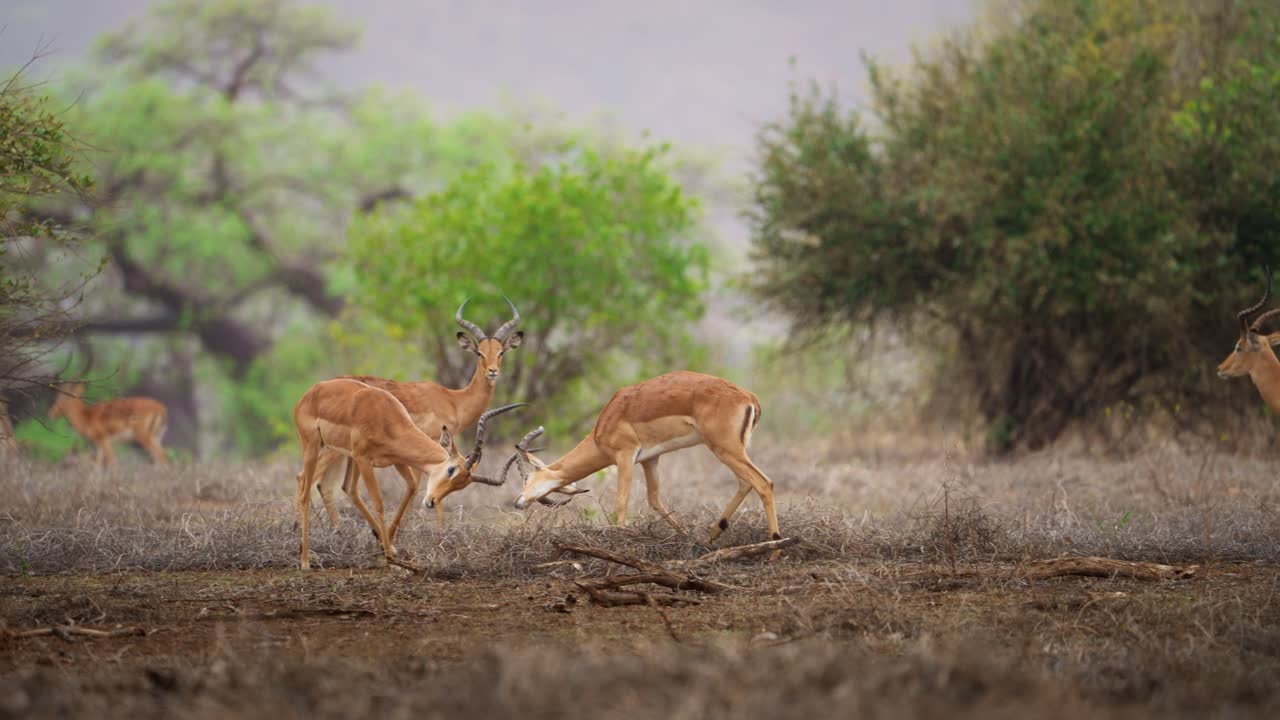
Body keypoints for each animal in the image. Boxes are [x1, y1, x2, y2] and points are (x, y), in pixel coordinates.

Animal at [293, 377, 523, 569]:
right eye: (451, 469)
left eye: (461, 485)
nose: (431, 501)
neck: (384, 416)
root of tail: (309, 393)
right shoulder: (365, 460)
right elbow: (379, 503)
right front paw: (390, 558)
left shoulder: (397, 460)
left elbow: (411, 487)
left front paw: (389, 549)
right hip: (315, 447)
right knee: (304, 488)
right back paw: (304, 561)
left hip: (347, 456)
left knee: (348, 489)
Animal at [308, 297, 524, 526]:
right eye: (479, 352)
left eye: (501, 352)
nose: (492, 371)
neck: (454, 400)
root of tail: (319, 388)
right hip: (331, 450)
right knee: (306, 478)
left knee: (324, 485)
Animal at [507, 371, 781, 543]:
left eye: (526, 477)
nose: (518, 502)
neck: (604, 425)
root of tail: (749, 397)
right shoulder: (651, 459)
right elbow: (655, 500)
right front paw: (684, 536)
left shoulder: (625, 456)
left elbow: (621, 501)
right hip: (731, 450)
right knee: (745, 483)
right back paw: (712, 533)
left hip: (725, 449)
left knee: (763, 483)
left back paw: (774, 545)